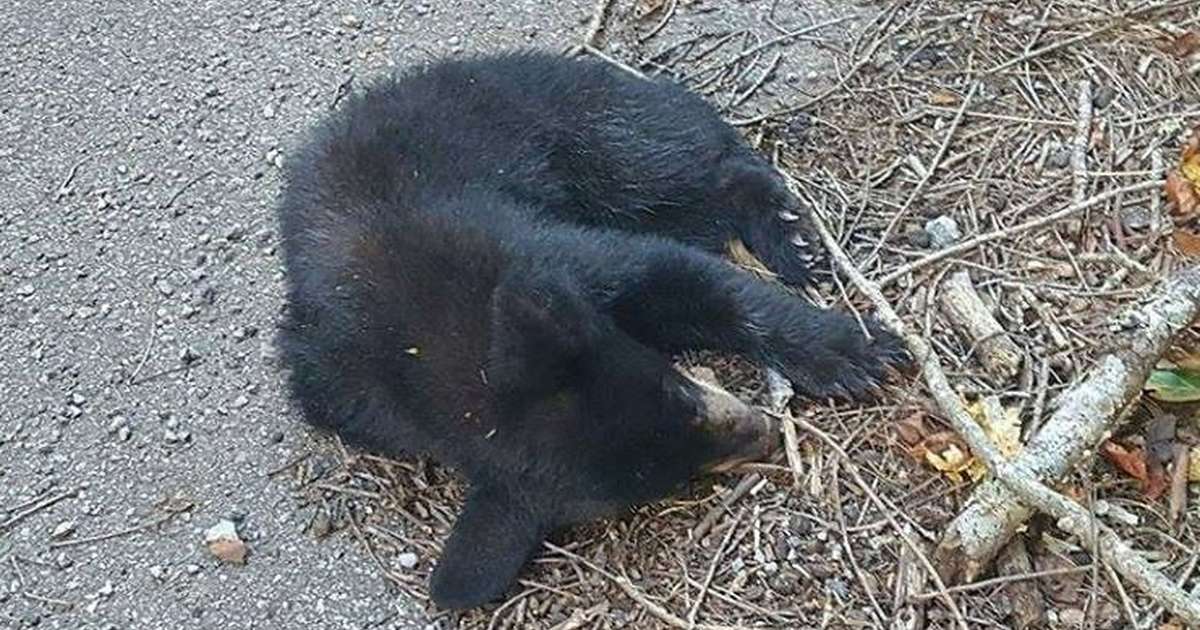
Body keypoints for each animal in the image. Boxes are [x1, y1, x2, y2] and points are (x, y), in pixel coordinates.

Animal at [275, 51, 907, 610]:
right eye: (678, 479)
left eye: (679, 390)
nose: (766, 433)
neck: (424, 342)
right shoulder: (350, 395)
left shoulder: (520, 250)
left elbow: (677, 277)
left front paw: (849, 350)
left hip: (563, 119)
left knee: (669, 160)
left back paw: (786, 233)